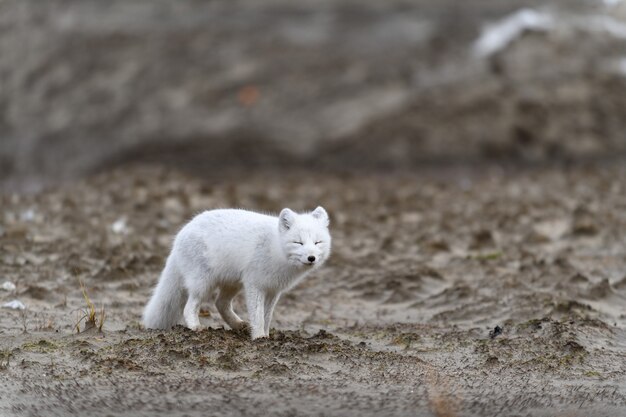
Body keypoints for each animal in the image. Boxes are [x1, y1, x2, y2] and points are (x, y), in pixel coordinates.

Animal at [140, 205, 326, 338]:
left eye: (317, 242)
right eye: (298, 242)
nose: (311, 258)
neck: (276, 248)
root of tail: (180, 235)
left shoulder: (273, 290)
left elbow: (266, 317)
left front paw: (266, 335)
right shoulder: (254, 285)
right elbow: (258, 316)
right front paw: (259, 338)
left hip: (232, 283)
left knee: (220, 303)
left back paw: (238, 325)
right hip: (203, 283)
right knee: (190, 306)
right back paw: (195, 327)